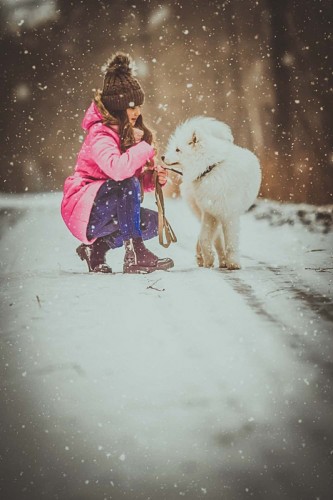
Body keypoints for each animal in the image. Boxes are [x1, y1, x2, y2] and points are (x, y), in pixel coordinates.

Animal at [161, 116, 260, 270]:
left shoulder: (229, 215)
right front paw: (209, 259)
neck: (209, 168)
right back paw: (213, 259)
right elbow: (205, 238)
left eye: (177, 150)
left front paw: (233, 263)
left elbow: (230, 242)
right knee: (214, 238)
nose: (162, 157)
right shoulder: (209, 213)